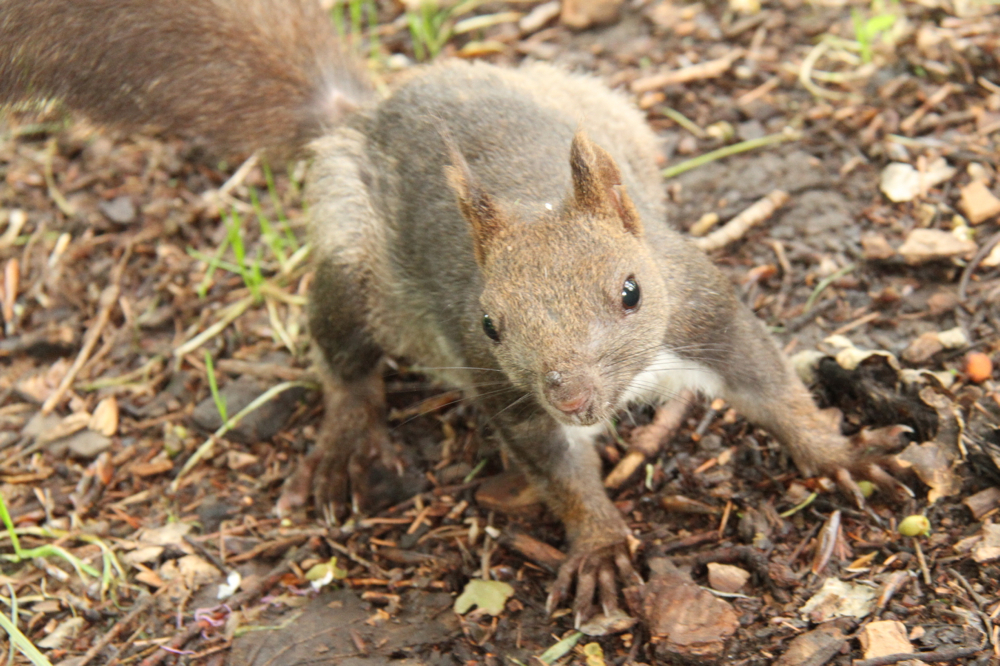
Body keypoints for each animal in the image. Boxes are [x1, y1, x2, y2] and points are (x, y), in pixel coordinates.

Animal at [0, 0, 908, 624]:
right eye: (490, 324)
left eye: (630, 291)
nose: (573, 395)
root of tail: (362, 116)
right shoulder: (506, 391)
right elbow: (558, 471)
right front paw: (601, 544)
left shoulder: (706, 311)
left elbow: (776, 392)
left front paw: (843, 457)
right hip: (348, 270)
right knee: (345, 365)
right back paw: (348, 443)